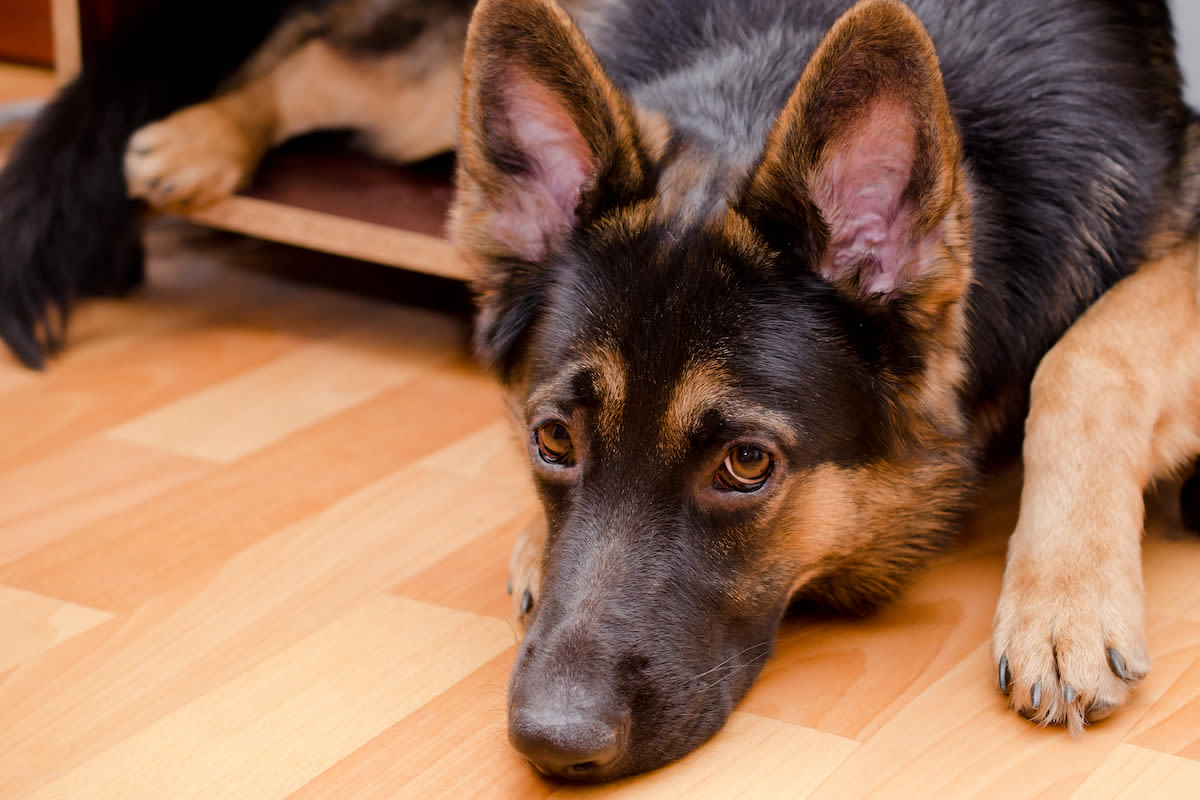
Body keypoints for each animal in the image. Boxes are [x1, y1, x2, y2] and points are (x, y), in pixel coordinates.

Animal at [2, 0, 1200, 782]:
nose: (548, 744)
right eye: (552, 440)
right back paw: (191, 139)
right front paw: (536, 547)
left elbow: (1082, 358)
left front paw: (1064, 600)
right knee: (325, 65)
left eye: (748, 464)